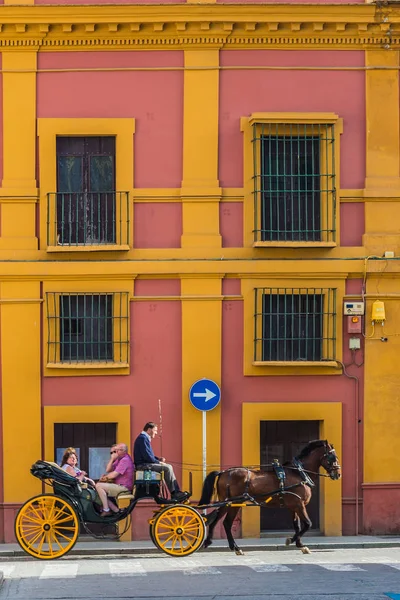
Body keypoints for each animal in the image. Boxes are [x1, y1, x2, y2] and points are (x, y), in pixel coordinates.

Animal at [197, 438, 340, 556]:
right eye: (333, 457)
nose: (338, 474)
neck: (299, 473)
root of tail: (223, 472)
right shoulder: (299, 504)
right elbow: (307, 524)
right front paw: (291, 540)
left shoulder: (293, 506)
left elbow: (297, 525)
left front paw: (300, 545)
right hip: (233, 503)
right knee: (226, 522)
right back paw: (234, 547)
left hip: (227, 502)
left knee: (219, 520)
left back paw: (215, 543)